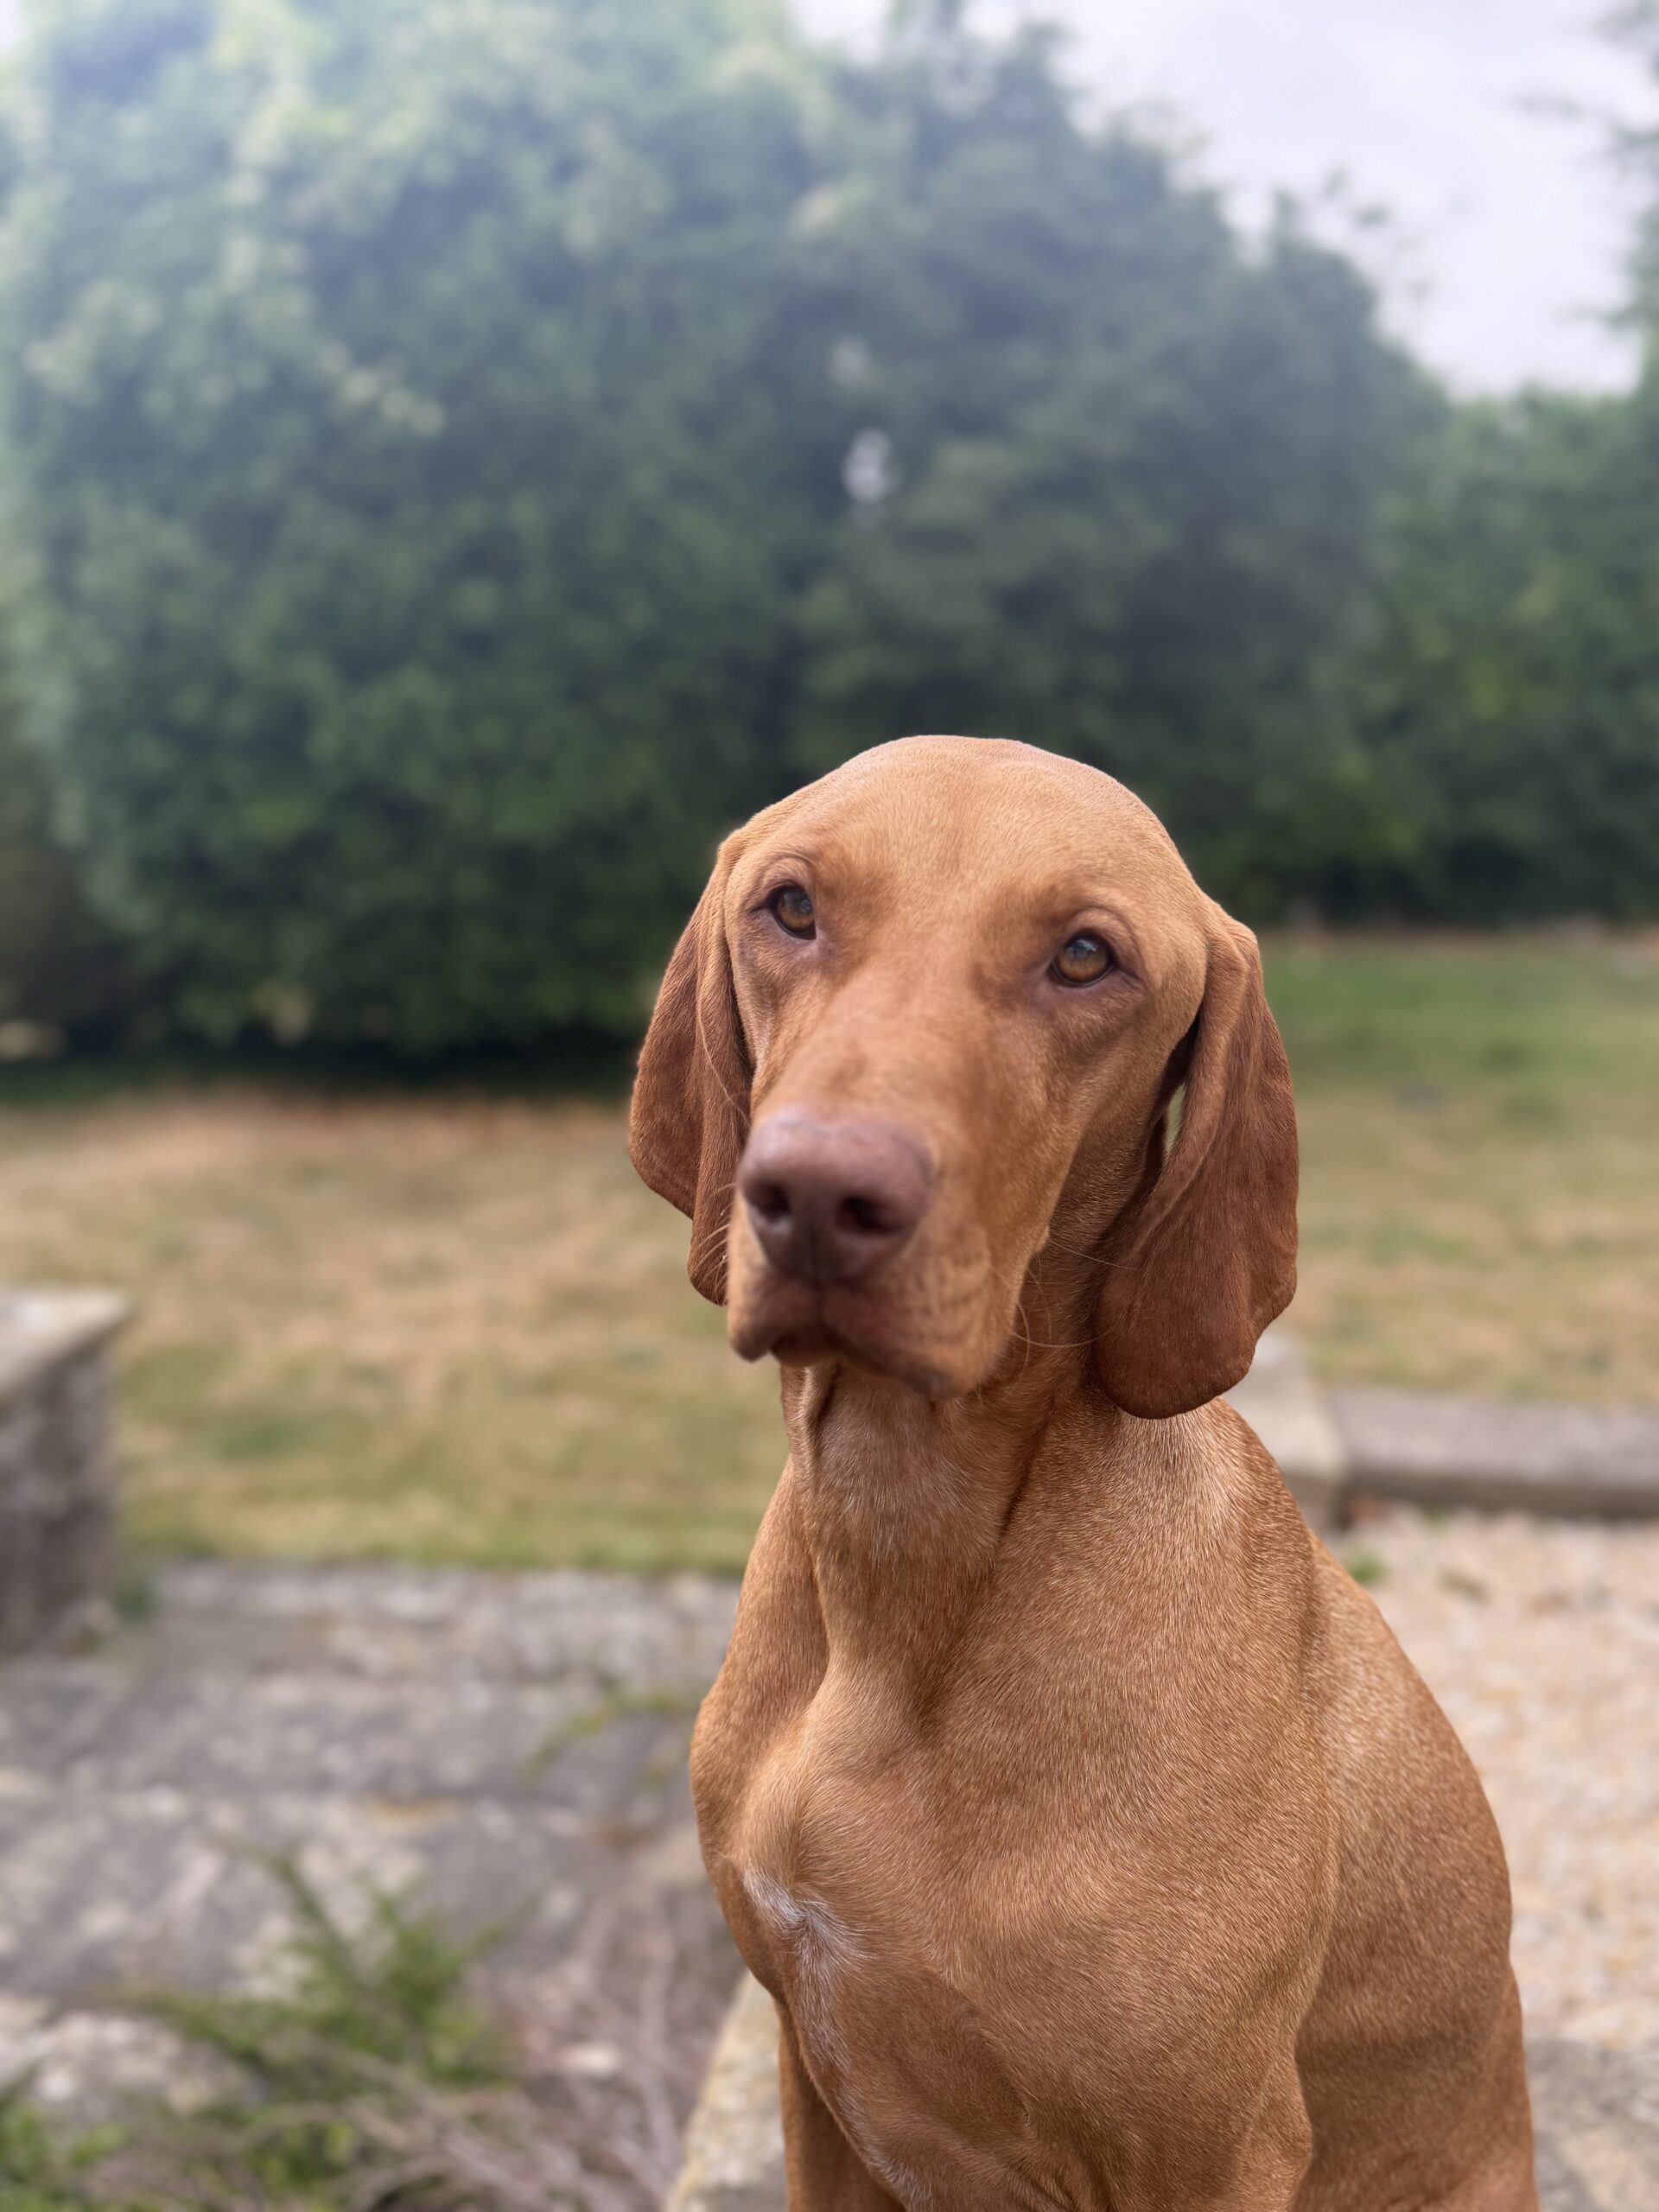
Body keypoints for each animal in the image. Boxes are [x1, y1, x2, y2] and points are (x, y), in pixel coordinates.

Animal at [630, 737, 1535, 2211]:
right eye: (791, 908)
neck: (911, 1560)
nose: (816, 1196)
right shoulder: (814, 2084)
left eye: (1085, 957)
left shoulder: (1211, 2147)